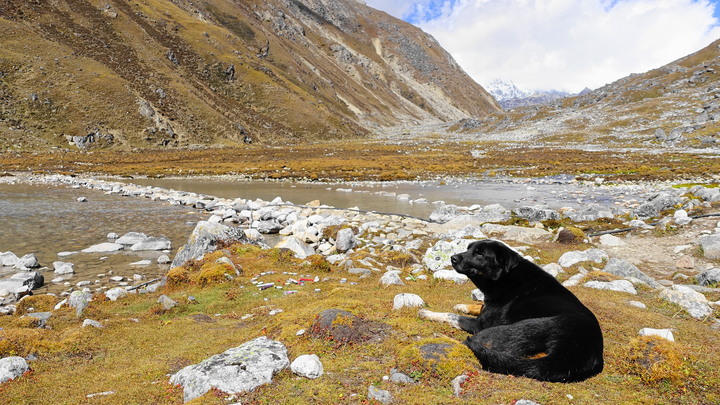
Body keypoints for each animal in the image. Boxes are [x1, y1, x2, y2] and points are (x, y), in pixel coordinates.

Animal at [420, 240, 604, 382]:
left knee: (470, 343)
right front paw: (463, 306)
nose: (453, 258)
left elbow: (452, 316)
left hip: (516, 328)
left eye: (480, 254)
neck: (505, 277)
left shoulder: (481, 324)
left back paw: (441, 337)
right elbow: (478, 305)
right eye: (468, 248)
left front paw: (429, 313)